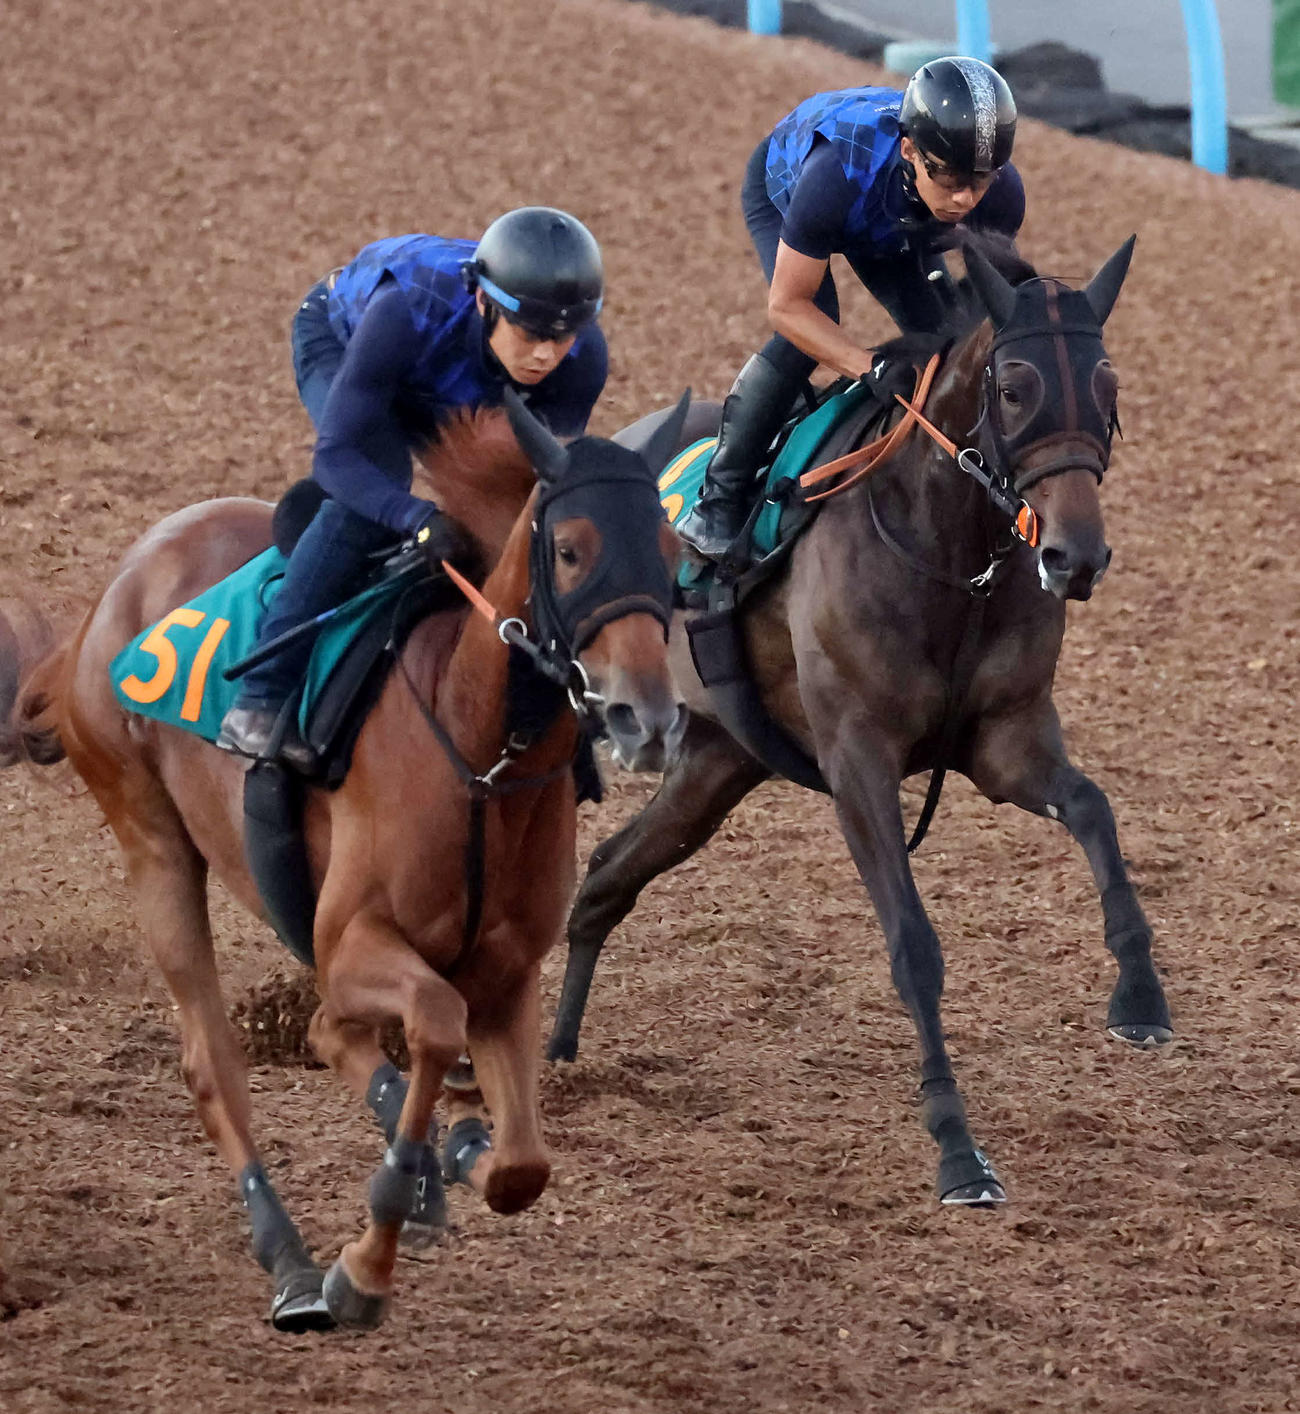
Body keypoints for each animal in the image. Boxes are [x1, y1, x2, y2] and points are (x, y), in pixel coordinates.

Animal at [6, 394, 688, 1330]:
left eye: (673, 553)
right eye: (572, 548)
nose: (645, 717)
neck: (480, 756)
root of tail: (103, 606)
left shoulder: (508, 972)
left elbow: (519, 1166)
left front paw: (458, 1157)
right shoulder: (352, 941)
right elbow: (423, 1023)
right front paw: (367, 1261)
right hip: (153, 845)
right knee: (217, 1063)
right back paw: (293, 1264)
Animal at [544, 233, 1172, 1207]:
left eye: (1108, 387)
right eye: (1015, 386)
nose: (1077, 556)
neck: (949, 552)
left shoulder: (1007, 740)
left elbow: (1096, 810)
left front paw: (1140, 998)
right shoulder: (857, 760)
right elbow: (913, 946)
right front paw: (959, 1151)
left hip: (719, 763)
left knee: (610, 876)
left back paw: (558, 1060)